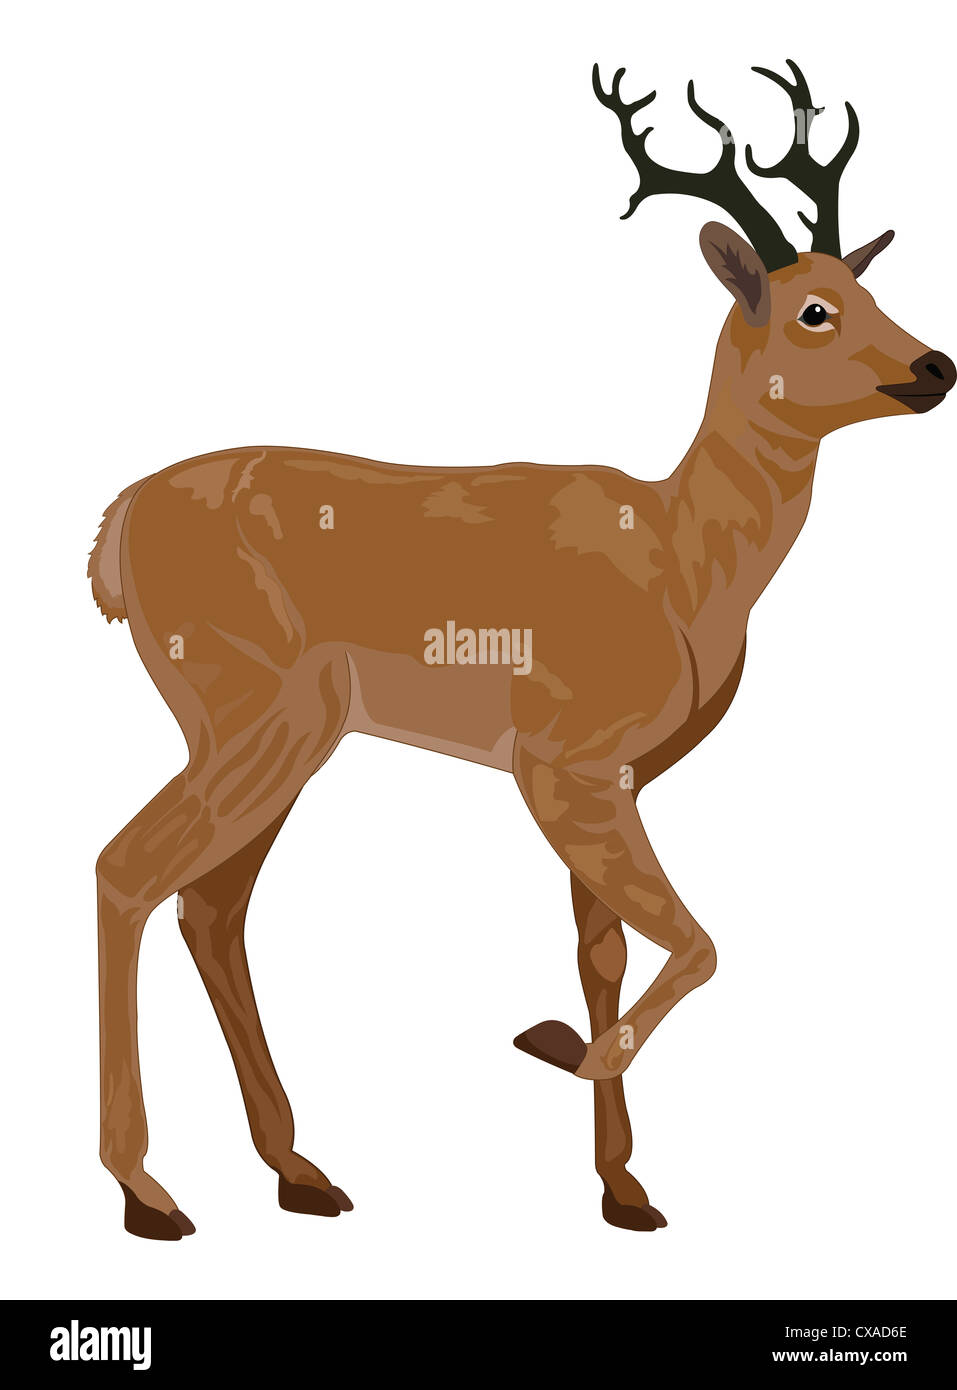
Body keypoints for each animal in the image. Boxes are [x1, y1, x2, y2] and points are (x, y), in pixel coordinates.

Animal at [89, 58, 953, 1239]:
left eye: (867, 290)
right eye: (815, 309)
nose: (936, 365)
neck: (682, 564)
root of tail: (114, 529)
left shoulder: (620, 775)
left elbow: (607, 950)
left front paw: (625, 1187)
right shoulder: (562, 758)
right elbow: (698, 942)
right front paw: (558, 1052)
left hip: (262, 729)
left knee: (212, 906)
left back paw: (299, 1171)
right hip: (255, 705)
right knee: (129, 869)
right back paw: (148, 1191)